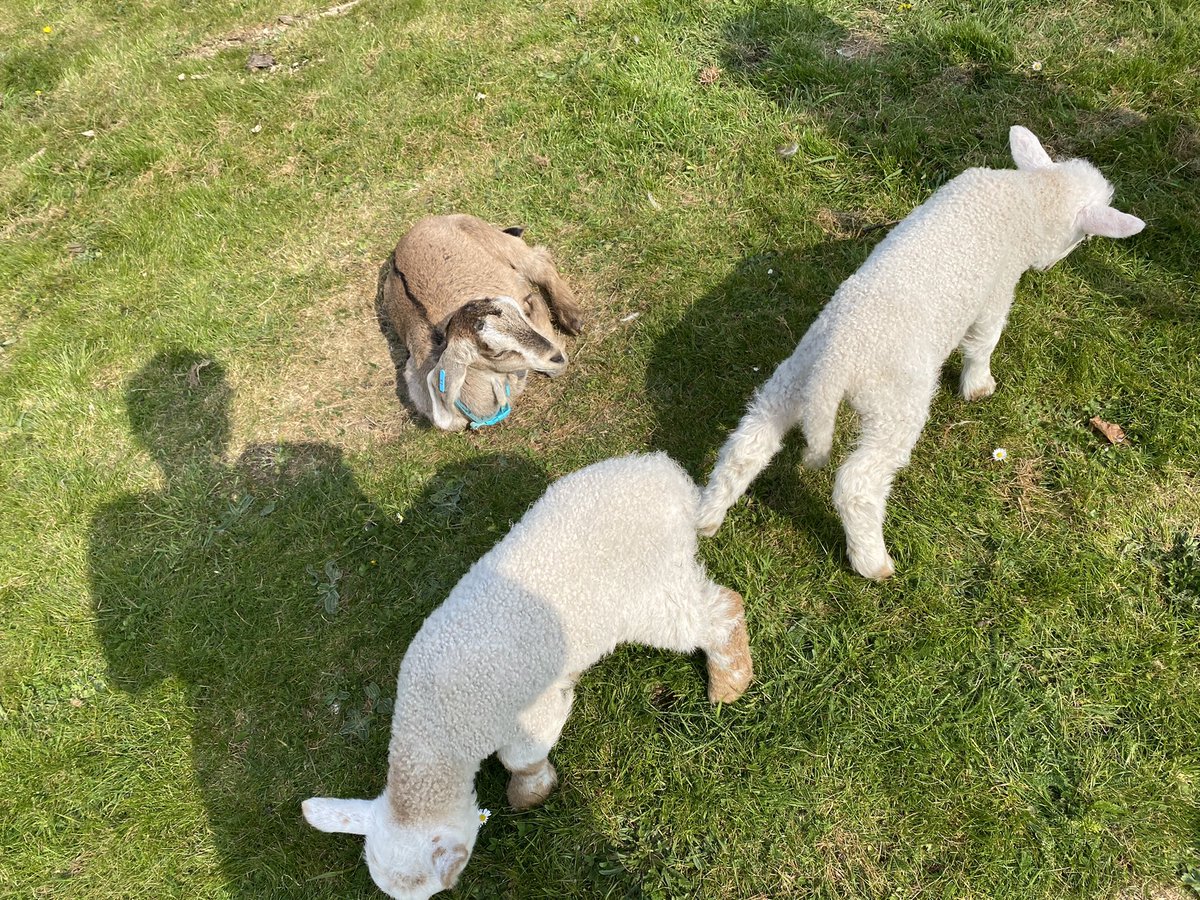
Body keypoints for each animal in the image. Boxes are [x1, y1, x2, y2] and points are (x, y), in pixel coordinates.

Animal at [302, 452, 754, 899]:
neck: (438, 724)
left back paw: (730, 682)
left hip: (650, 589)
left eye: (431, 894)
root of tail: (671, 477)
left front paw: (530, 794)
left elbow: (521, 757)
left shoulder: (531, 712)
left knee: (720, 610)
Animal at [375, 214, 585, 431]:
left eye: (519, 316)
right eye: (498, 353)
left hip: (492, 237)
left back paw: (571, 315)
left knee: (540, 262)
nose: (558, 356)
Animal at [696, 125, 1145, 580]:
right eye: (1084, 236)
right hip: (893, 404)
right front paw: (978, 386)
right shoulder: (995, 293)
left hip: (795, 374)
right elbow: (983, 342)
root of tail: (835, 367)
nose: (1053, 265)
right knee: (857, 484)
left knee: (747, 445)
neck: (1027, 197)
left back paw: (706, 518)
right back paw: (872, 562)